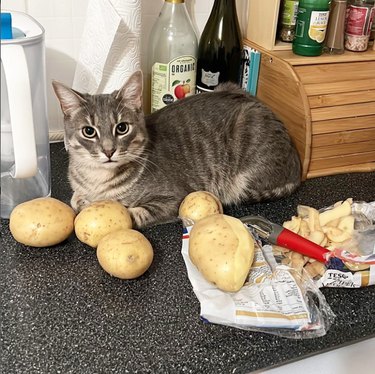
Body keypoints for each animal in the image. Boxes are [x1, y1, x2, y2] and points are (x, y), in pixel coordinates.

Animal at [52, 70, 302, 228]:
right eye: (89, 131)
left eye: (122, 128)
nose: (108, 150)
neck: (97, 180)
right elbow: (74, 198)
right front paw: (83, 200)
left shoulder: (172, 198)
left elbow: (133, 212)